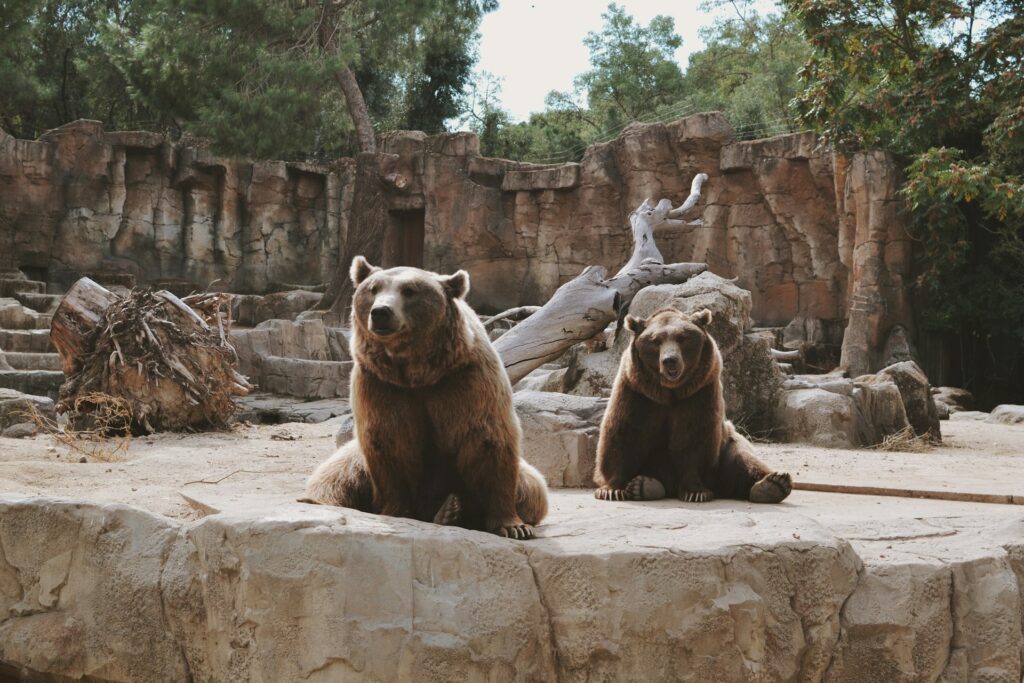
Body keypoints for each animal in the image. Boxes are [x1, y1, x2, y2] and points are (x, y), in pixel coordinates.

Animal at [304, 256, 548, 539]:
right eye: (373, 289)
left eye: (409, 291)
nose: (381, 312)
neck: (418, 371)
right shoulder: (381, 385)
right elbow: (390, 440)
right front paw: (397, 511)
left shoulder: (467, 378)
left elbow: (488, 438)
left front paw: (513, 526)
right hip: (352, 464)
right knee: (331, 479)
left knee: (533, 488)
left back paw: (451, 510)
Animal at [593, 307, 792, 504]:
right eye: (656, 341)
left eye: (682, 337)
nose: (670, 360)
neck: (669, 392)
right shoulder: (638, 393)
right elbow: (624, 434)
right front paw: (612, 490)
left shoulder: (698, 394)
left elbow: (694, 439)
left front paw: (696, 492)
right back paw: (643, 485)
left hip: (727, 445)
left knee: (742, 458)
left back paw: (774, 484)